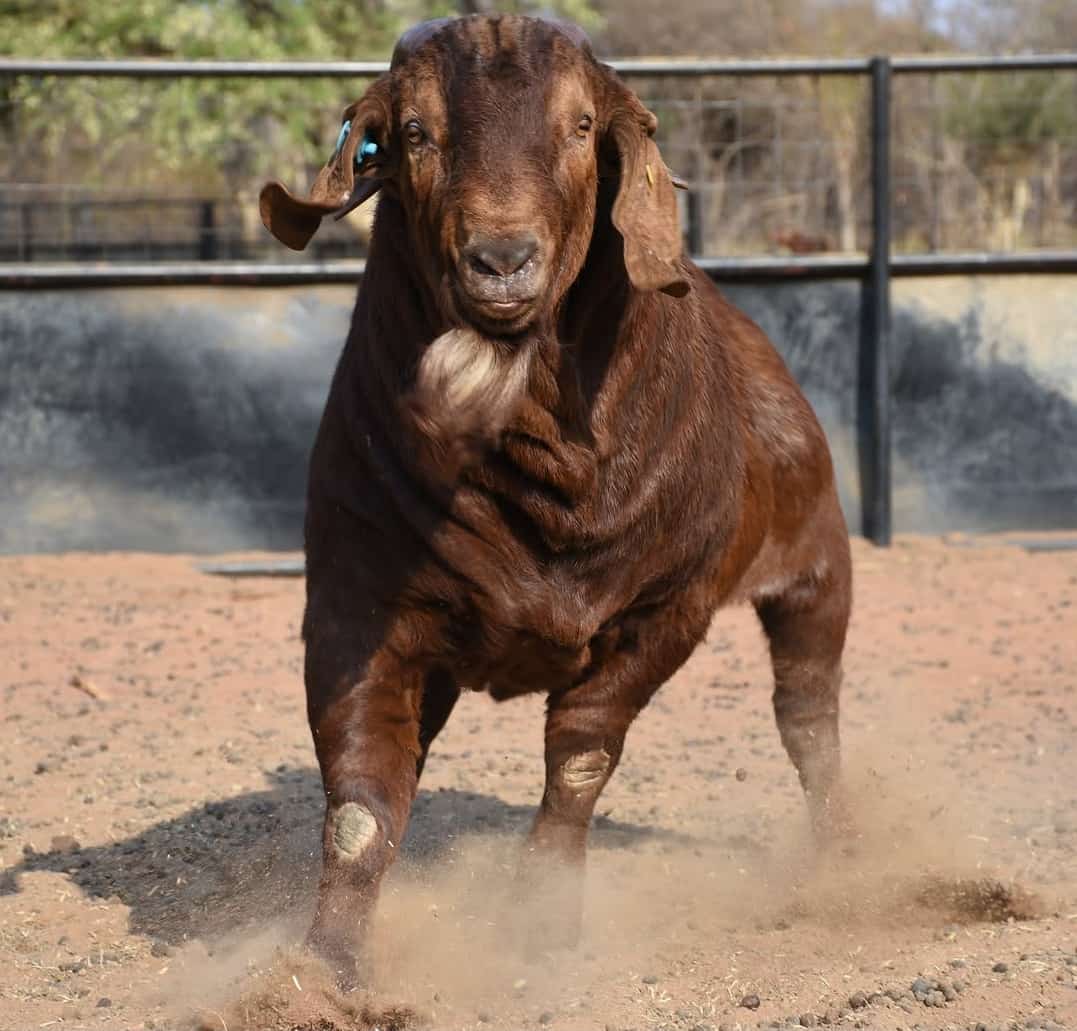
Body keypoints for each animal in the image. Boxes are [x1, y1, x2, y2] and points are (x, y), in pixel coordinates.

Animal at [260, 14, 852, 982]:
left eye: (580, 127)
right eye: (413, 132)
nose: (501, 260)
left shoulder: (665, 610)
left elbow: (580, 757)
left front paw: (541, 917)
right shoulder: (359, 607)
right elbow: (362, 803)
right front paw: (319, 974)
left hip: (817, 570)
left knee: (807, 715)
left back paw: (848, 856)